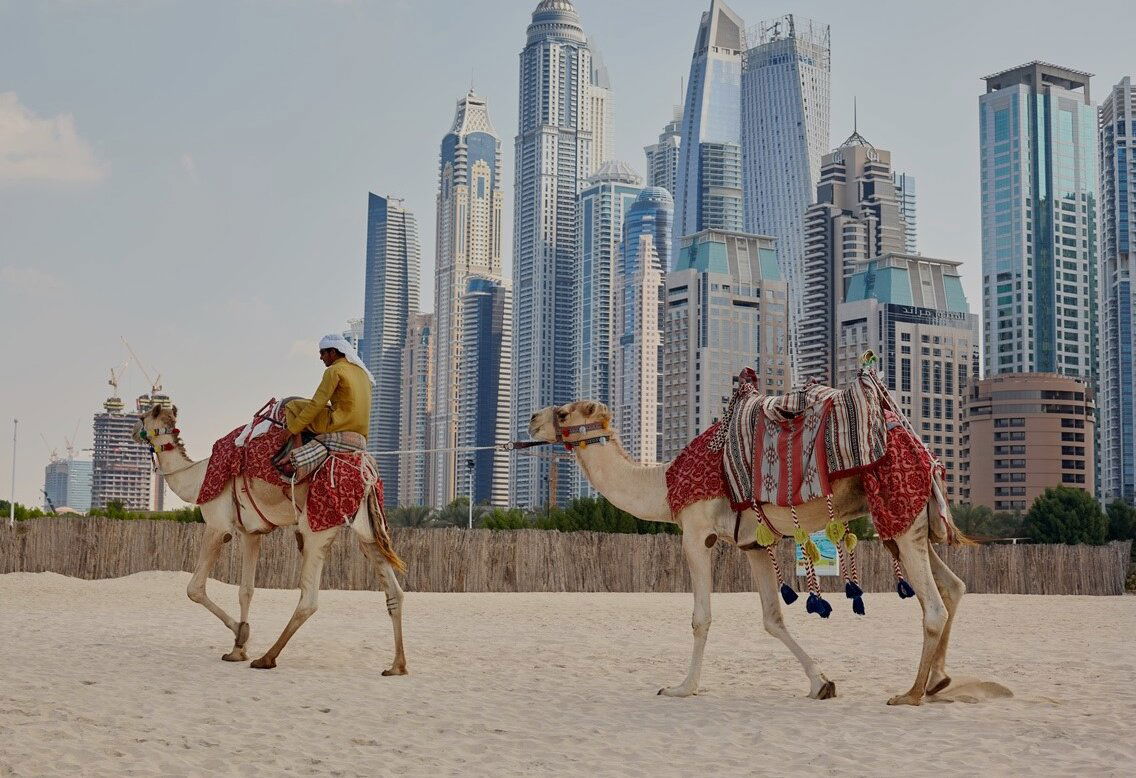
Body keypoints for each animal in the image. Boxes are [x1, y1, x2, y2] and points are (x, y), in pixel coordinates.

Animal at [134, 404, 408, 672]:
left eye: (142, 416)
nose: (134, 432)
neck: (197, 479)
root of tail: (367, 474)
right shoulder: (250, 533)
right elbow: (246, 590)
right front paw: (237, 649)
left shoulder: (217, 526)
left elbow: (195, 588)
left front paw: (240, 634)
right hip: (368, 530)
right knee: (394, 591)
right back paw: (397, 665)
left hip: (316, 527)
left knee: (309, 599)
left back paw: (267, 658)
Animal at [529, 399, 967, 704]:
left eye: (563, 413)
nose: (533, 419)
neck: (663, 483)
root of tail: (926, 453)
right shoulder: (754, 542)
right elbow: (772, 618)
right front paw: (821, 683)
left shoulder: (696, 533)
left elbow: (701, 618)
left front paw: (682, 687)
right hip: (908, 522)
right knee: (954, 587)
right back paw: (939, 682)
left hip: (898, 510)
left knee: (933, 606)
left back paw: (910, 694)